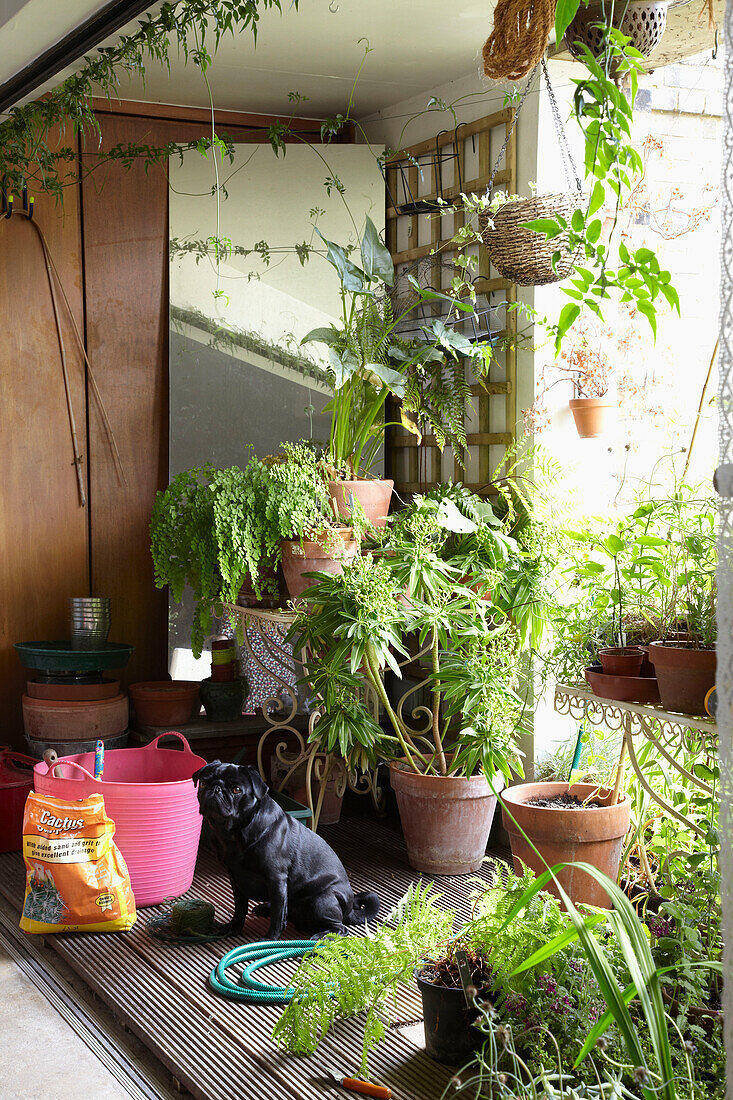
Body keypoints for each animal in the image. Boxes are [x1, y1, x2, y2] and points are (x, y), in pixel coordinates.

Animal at [191, 765, 378, 937]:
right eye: (204, 782)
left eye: (236, 790)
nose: (216, 788)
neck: (233, 834)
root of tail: (350, 909)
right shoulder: (235, 878)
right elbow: (240, 908)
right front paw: (234, 927)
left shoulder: (276, 879)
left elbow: (278, 914)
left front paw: (270, 938)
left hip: (322, 900)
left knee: (340, 928)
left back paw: (321, 936)